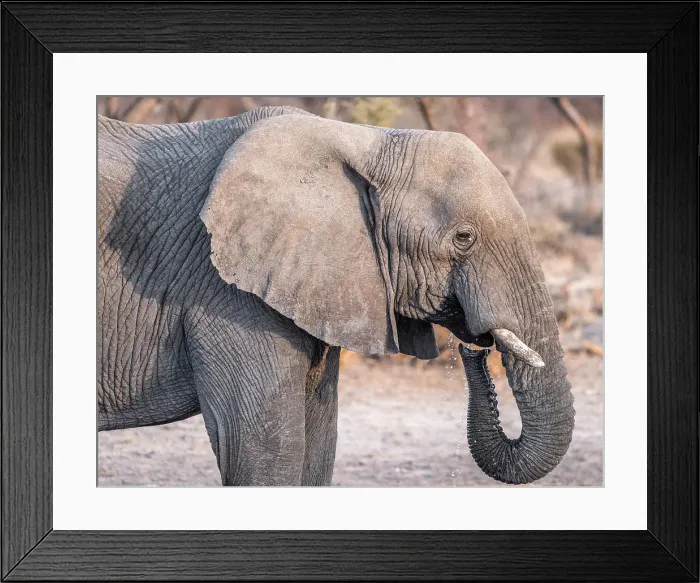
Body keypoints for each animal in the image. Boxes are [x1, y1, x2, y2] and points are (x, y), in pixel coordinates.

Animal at [97, 105, 574, 486]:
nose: (475, 350)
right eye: (464, 238)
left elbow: (318, 445)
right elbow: (264, 450)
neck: (365, 141)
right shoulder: (224, 293)